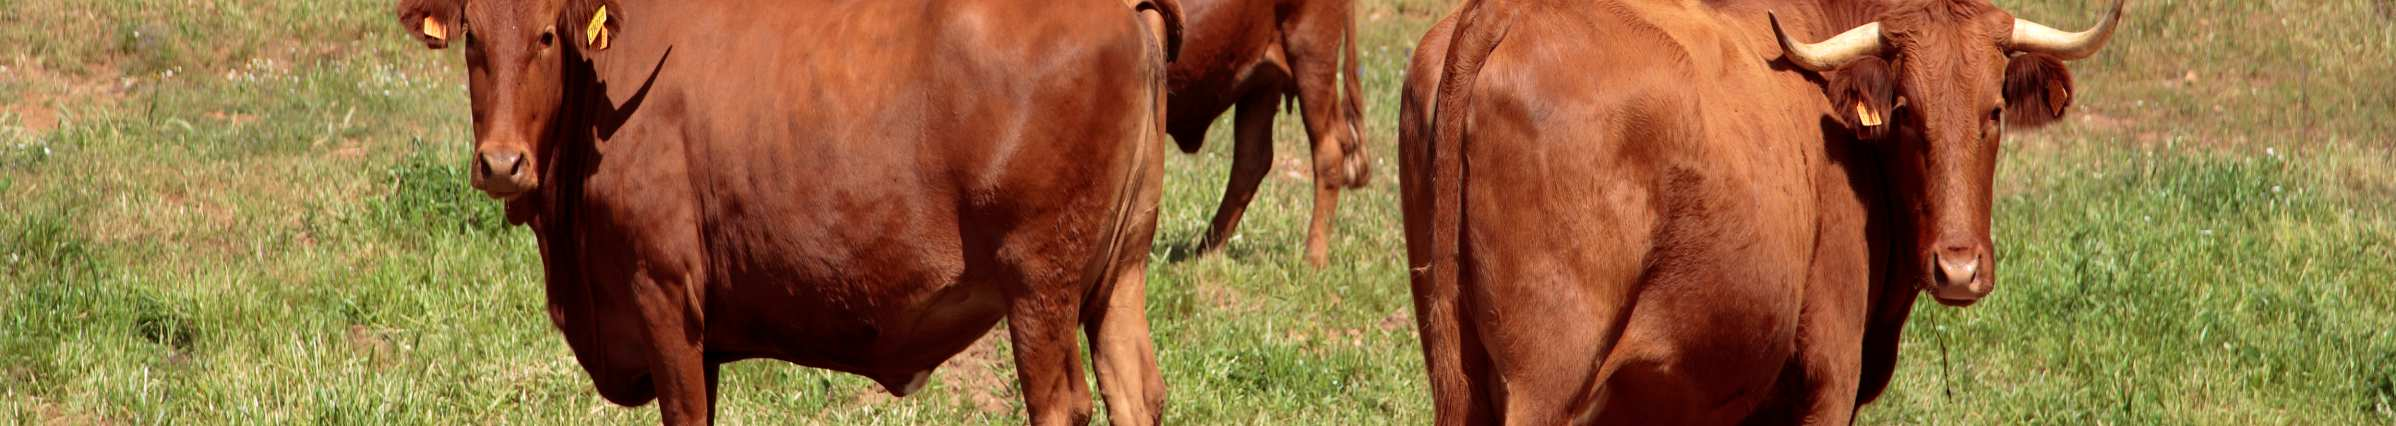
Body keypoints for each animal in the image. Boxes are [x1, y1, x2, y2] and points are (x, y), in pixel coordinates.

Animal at [392, 0, 1188, 423]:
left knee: (1063, 402)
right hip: (1118, 275)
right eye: (472, 36)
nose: (501, 163)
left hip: (1040, 285)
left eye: (547, 34)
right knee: (1135, 390)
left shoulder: (662, 294)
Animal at [1164, 0, 1370, 265]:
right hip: (1261, 81)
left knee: (1329, 148)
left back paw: (1313, 260)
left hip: (1312, 51)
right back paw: (1207, 252)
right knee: (1251, 160)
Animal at [1399, 0, 2127, 421]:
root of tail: (1503, 15)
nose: (1957, 268)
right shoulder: (1829, 378)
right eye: (1904, 111)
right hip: (1546, 380)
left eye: (1995, 110)